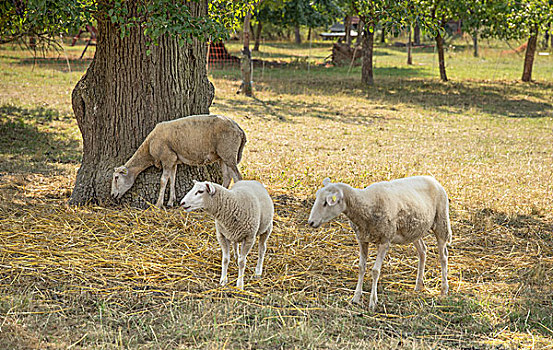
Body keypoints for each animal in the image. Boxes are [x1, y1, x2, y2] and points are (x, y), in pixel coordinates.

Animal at [111, 115, 245, 208]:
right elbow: (172, 179)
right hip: (223, 156)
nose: (112, 195)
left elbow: (163, 180)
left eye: (116, 177)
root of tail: (239, 129)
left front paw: (158, 204)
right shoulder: (173, 161)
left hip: (228, 153)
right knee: (227, 177)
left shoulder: (167, 158)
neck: (148, 148)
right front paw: (171, 202)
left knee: (238, 177)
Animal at [308, 176, 450, 310]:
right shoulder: (362, 239)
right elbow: (361, 267)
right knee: (422, 251)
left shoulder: (385, 240)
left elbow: (375, 271)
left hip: (441, 220)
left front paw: (372, 302)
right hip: (414, 230)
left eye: (326, 203)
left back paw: (444, 290)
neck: (366, 204)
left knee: (443, 257)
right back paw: (419, 285)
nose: (311, 222)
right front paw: (356, 297)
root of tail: (432, 179)